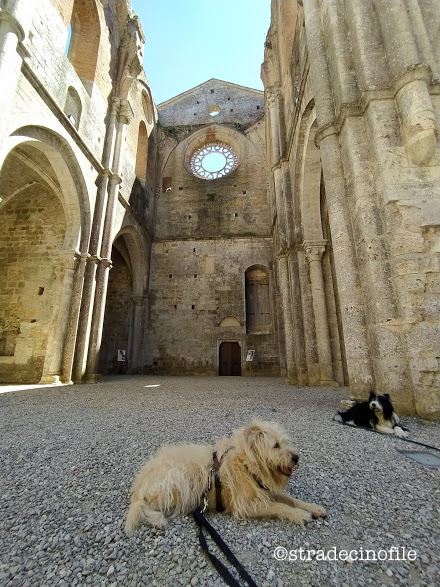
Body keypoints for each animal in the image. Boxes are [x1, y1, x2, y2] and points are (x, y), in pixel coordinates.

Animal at [125, 420, 324, 536]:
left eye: (286, 442)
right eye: (275, 445)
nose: (296, 457)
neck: (246, 464)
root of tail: (140, 482)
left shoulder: (264, 490)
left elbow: (290, 499)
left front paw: (312, 507)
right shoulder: (245, 505)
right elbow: (280, 506)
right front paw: (299, 514)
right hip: (177, 480)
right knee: (143, 505)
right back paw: (157, 520)